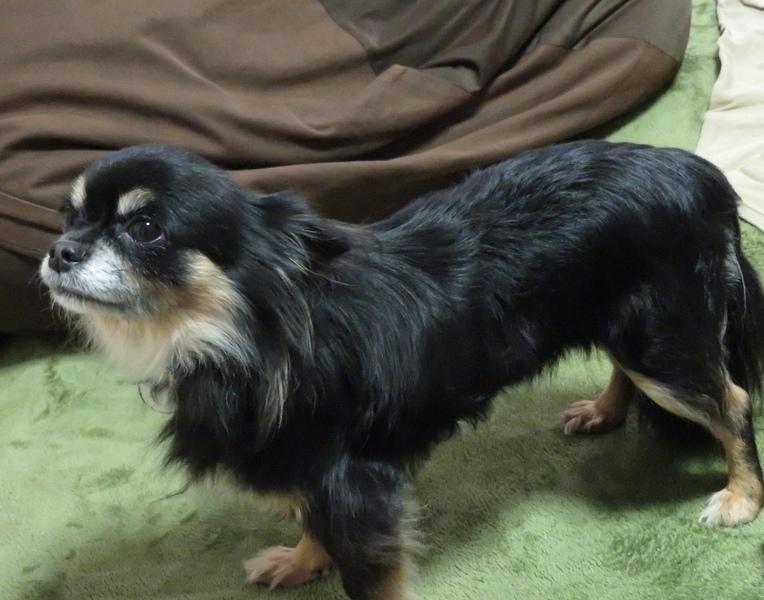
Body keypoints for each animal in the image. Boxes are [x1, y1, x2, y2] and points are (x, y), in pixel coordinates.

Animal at [40, 140, 764, 600]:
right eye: (69, 217)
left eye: (146, 228)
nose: (59, 250)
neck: (245, 336)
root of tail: (703, 175)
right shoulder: (312, 468)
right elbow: (311, 519)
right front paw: (304, 562)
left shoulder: (357, 489)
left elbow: (366, 574)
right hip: (625, 325)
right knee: (630, 371)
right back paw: (605, 411)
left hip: (662, 344)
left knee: (731, 403)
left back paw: (741, 497)